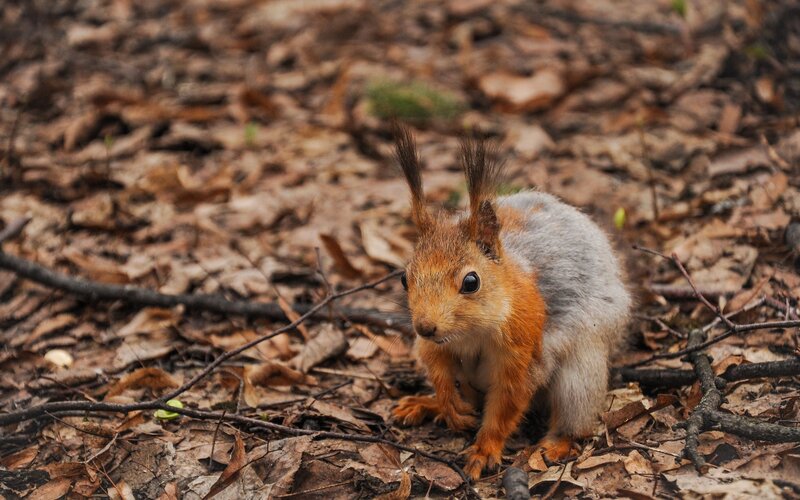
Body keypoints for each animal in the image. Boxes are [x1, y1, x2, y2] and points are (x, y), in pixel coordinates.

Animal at [390, 126, 631, 480]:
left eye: (471, 282)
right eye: (404, 278)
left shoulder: (523, 350)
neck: (470, 332)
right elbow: (437, 367)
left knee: (576, 417)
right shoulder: (434, 345)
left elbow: (507, 404)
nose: (425, 326)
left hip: (581, 372)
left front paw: (484, 450)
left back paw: (555, 445)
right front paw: (447, 404)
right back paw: (427, 404)